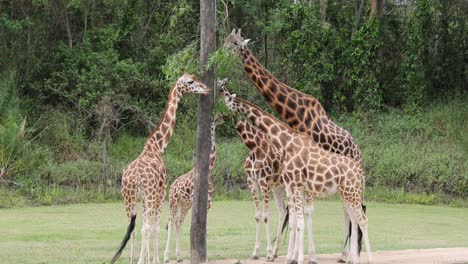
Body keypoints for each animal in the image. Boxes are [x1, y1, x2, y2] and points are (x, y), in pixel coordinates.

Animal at [111, 72, 210, 264]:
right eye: (190, 82)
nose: (207, 89)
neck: (157, 147)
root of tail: (134, 178)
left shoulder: (143, 199)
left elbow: (144, 227)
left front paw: (147, 258)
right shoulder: (160, 193)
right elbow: (154, 227)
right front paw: (154, 259)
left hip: (128, 198)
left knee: (132, 229)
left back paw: (132, 259)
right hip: (149, 196)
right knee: (146, 228)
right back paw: (140, 260)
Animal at [163, 113, 225, 262]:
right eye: (213, 121)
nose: (221, 118)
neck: (209, 170)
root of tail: (172, 185)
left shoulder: (208, 203)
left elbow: (203, 227)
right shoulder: (196, 200)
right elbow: (195, 226)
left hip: (184, 204)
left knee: (178, 222)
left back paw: (179, 256)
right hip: (173, 201)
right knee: (171, 222)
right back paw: (166, 257)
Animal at [225, 29, 364, 262]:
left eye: (233, 44)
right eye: (225, 41)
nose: (221, 54)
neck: (294, 113)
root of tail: (358, 151)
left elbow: (305, 211)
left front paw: (309, 256)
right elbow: (295, 212)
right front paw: (285, 253)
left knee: (354, 209)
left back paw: (348, 254)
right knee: (348, 210)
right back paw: (344, 254)